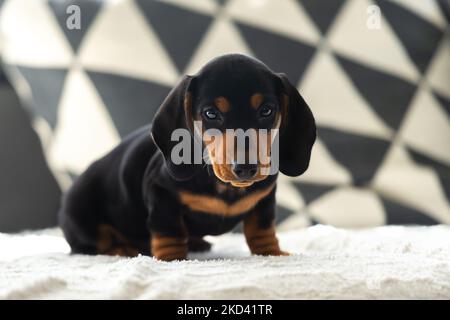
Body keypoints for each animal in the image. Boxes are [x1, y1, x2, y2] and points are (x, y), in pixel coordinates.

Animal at [59, 53, 316, 262]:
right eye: (211, 113)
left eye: (266, 110)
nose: (245, 168)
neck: (224, 187)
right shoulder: (161, 195)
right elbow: (169, 231)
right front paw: (172, 258)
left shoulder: (264, 200)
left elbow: (261, 229)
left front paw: (271, 253)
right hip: (84, 220)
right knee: (92, 246)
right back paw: (123, 249)